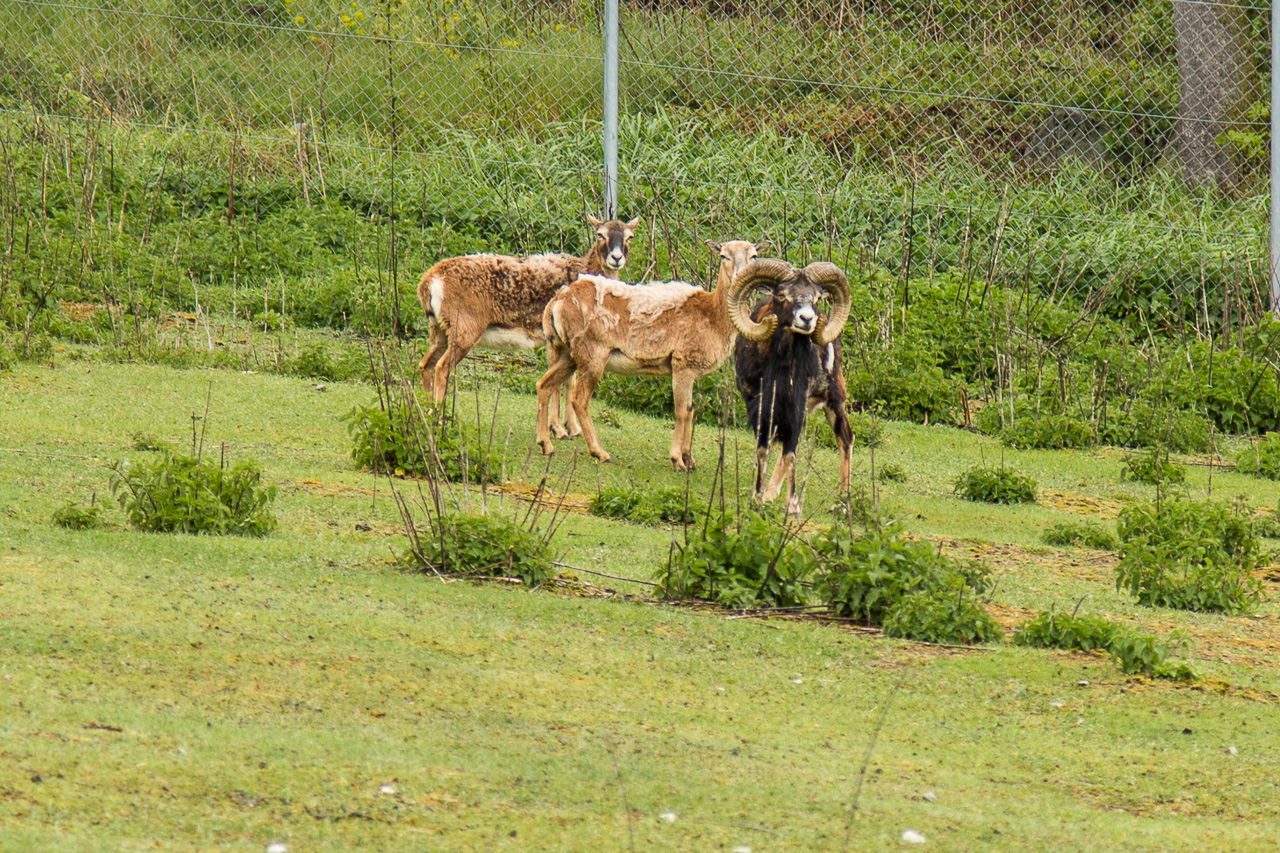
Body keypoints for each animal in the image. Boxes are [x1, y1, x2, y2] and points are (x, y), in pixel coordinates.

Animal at [415, 215, 639, 432]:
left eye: (630, 237)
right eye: (600, 234)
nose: (616, 258)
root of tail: (429, 282)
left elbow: (568, 380)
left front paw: (571, 427)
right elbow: (560, 381)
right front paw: (558, 428)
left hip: (438, 328)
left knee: (426, 365)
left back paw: (426, 412)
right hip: (463, 328)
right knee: (442, 367)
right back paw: (439, 420)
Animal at [534, 240, 769, 470]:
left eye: (754, 255)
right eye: (723, 256)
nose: (739, 276)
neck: (713, 315)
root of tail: (559, 300)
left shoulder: (691, 372)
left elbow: (691, 410)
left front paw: (690, 460)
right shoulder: (682, 365)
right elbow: (682, 411)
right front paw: (678, 461)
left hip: (568, 355)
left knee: (544, 385)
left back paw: (546, 445)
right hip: (593, 355)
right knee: (579, 399)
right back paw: (600, 453)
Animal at [731, 259, 852, 516]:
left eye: (816, 297)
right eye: (782, 295)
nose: (807, 319)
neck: (780, 371)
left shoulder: (796, 407)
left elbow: (791, 454)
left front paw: (793, 508)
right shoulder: (760, 408)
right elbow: (764, 451)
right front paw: (757, 498)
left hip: (834, 402)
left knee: (845, 440)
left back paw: (842, 504)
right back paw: (770, 494)